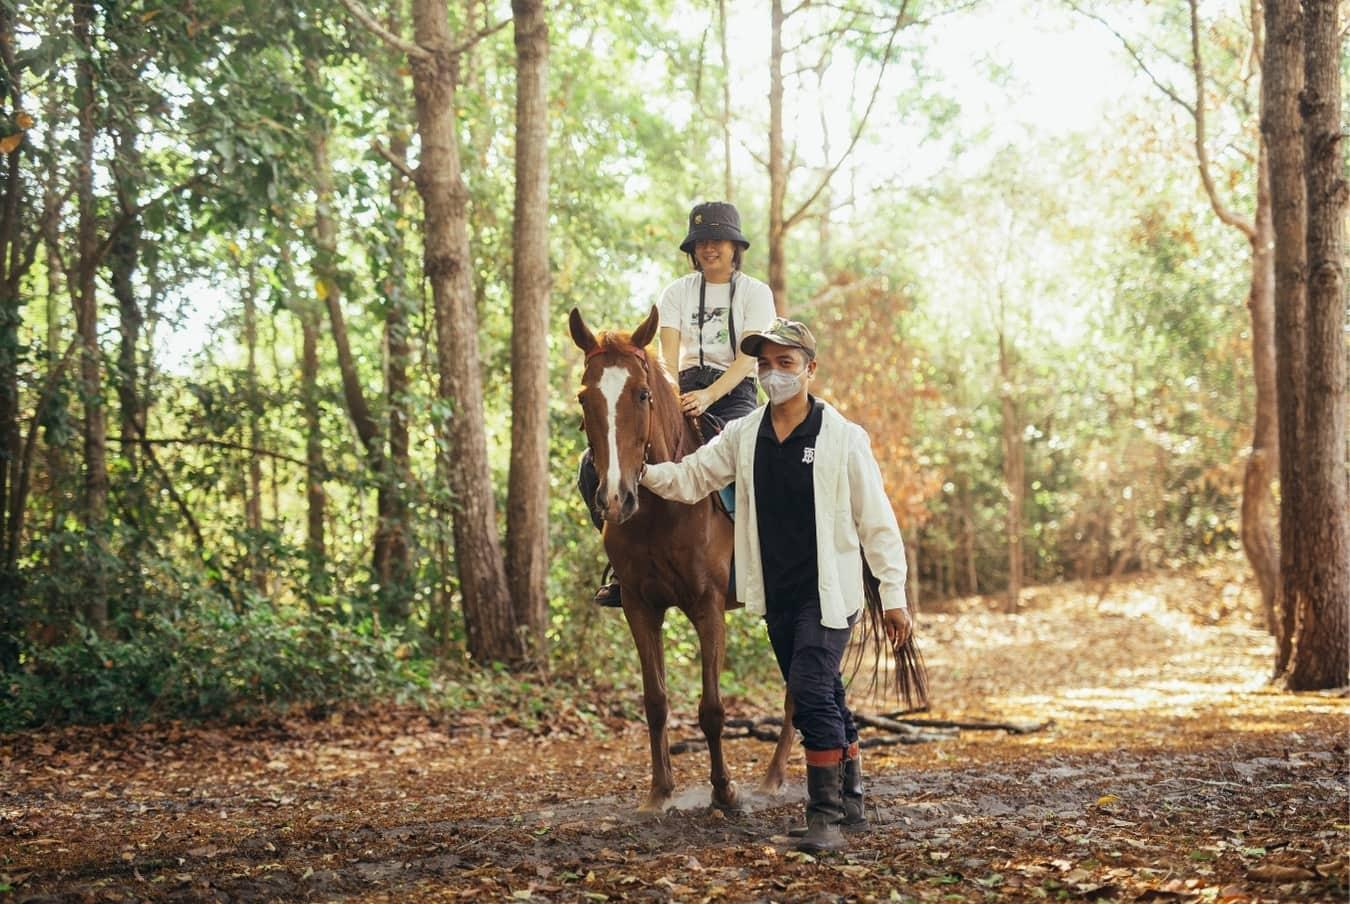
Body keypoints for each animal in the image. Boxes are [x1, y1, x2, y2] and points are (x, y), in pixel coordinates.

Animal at [567, 304, 793, 814]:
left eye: (642, 393)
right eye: (584, 397)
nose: (615, 499)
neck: (662, 507)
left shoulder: (708, 606)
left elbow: (711, 709)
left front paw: (725, 791)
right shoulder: (638, 606)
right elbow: (655, 702)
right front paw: (660, 792)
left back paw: (773, 778)